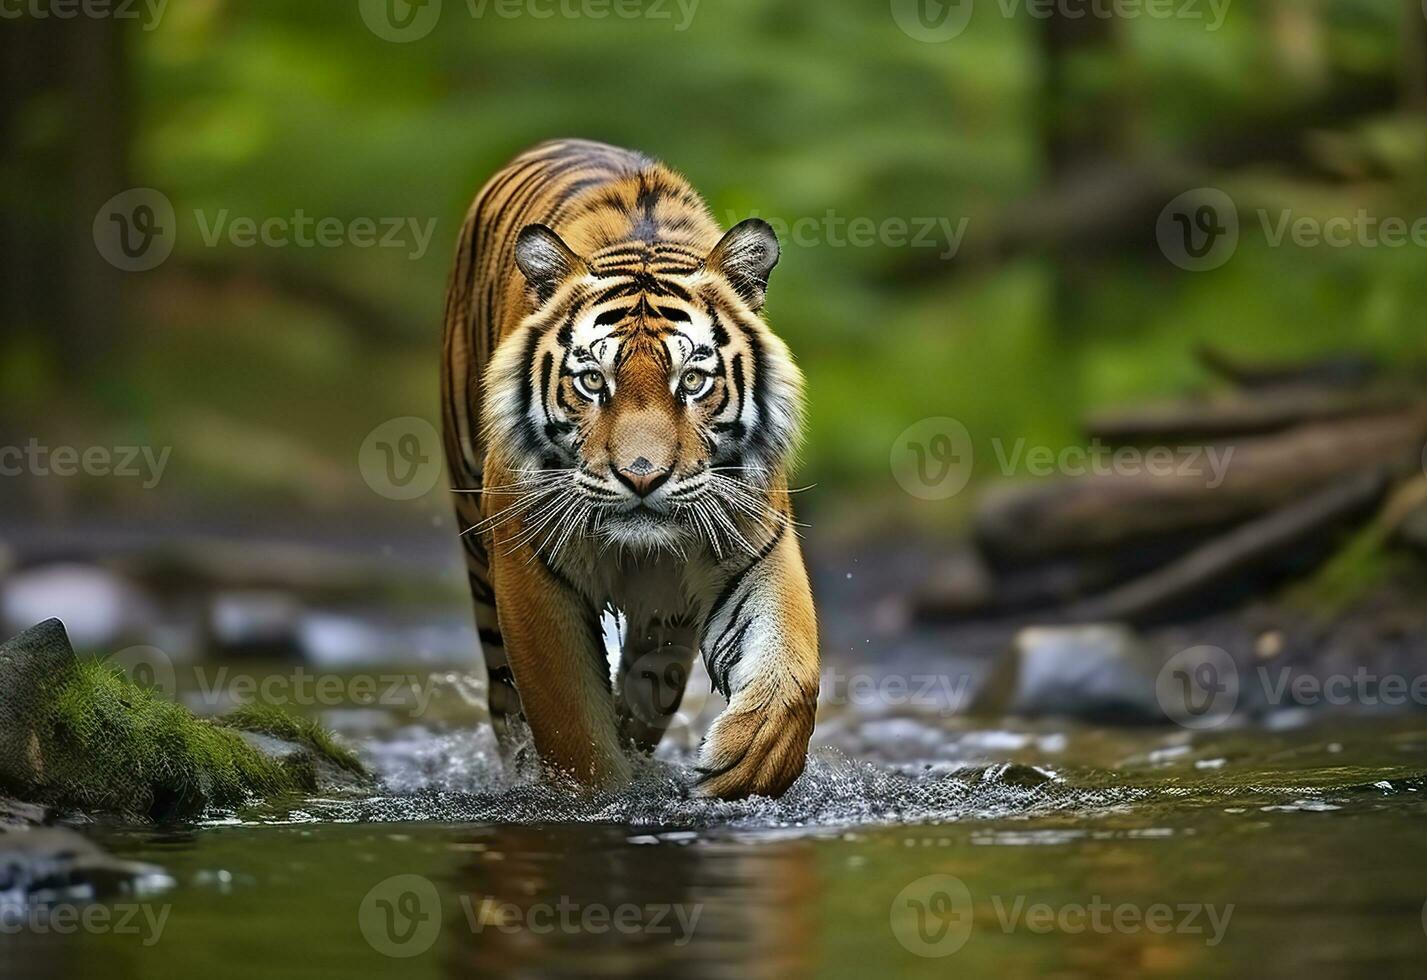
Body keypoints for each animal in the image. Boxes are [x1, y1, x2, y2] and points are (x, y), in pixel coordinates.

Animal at [439, 139, 821, 798]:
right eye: (594, 381)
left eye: (692, 381)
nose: (642, 477)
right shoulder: (527, 559)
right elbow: (569, 717)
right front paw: (602, 797)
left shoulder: (754, 537)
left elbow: (793, 665)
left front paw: (750, 755)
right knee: (506, 697)